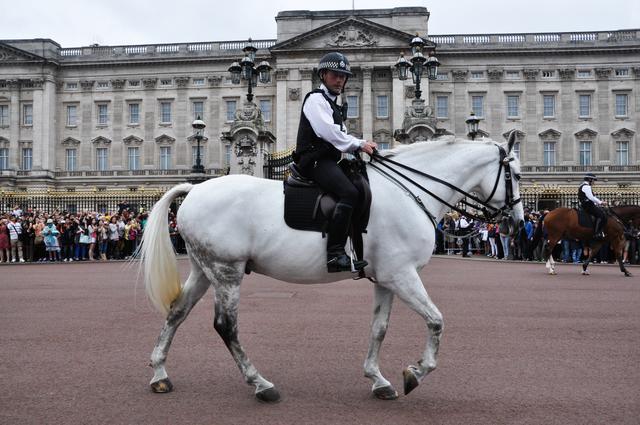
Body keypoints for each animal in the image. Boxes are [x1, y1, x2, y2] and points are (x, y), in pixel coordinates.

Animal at [141, 132, 524, 400]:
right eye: (516, 174)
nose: (515, 224)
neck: (408, 192)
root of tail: (194, 189)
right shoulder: (402, 275)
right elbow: (436, 320)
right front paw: (415, 373)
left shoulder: (386, 278)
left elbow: (379, 328)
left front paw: (378, 380)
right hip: (227, 272)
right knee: (226, 326)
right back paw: (261, 384)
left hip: (205, 270)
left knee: (177, 312)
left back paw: (160, 374)